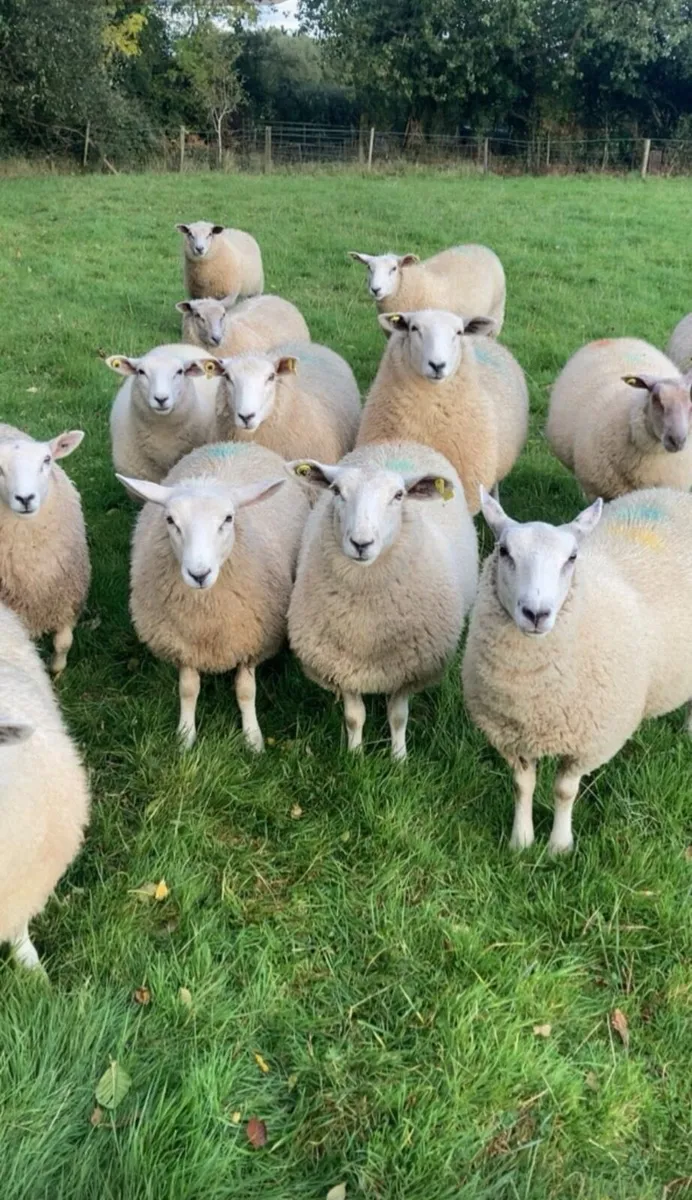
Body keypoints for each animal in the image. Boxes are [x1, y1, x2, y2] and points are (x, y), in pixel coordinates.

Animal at [118, 441, 309, 751]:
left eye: (228, 519)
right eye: (170, 520)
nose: (199, 574)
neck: (207, 618)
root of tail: (233, 443)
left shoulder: (250, 642)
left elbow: (245, 691)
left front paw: (253, 739)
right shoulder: (182, 643)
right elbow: (187, 689)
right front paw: (185, 736)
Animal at [287, 440, 479, 759]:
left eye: (398, 495)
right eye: (336, 491)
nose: (361, 543)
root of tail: (399, 442)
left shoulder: (408, 667)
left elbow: (398, 717)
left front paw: (399, 758)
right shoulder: (342, 664)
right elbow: (354, 716)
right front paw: (355, 756)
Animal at [462, 485, 692, 853]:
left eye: (571, 558)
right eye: (504, 551)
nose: (536, 613)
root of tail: (671, 492)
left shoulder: (588, 742)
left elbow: (564, 791)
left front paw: (559, 846)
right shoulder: (512, 736)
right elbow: (522, 785)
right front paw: (521, 841)